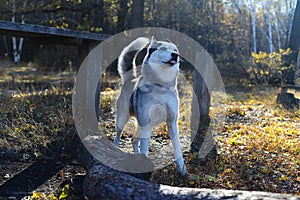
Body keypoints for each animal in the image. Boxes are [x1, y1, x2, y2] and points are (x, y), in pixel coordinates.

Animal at [113, 36, 186, 175]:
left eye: (175, 50)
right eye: (163, 48)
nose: (175, 55)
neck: (160, 87)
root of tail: (130, 78)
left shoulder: (172, 121)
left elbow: (177, 146)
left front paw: (182, 168)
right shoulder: (146, 121)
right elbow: (144, 147)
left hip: (144, 124)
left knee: (134, 139)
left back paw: (136, 155)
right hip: (124, 119)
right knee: (118, 136)